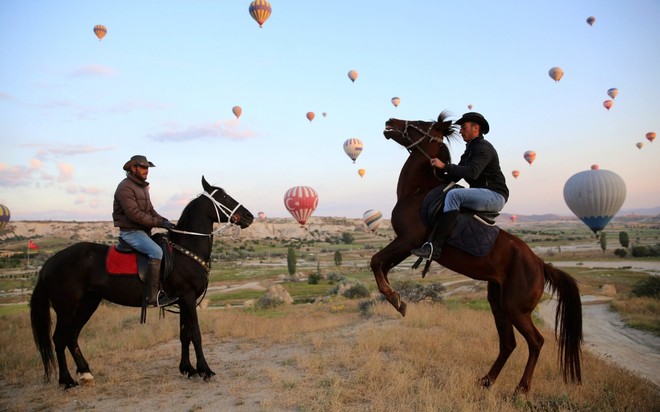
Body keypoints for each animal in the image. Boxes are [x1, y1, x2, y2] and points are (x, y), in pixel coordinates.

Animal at [30, 175, 253, 388]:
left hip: (87, 304)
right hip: (66, 309)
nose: (249, 216)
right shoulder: (188, 298)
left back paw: (85, 373)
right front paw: (205, 370)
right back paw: (66, 380)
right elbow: (195, 334)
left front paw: (188, 369)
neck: (185, 250)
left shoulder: (181, 301)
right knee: (59, 339)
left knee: (72, 336)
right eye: (222, 196)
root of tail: (48, 263)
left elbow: (184, 334)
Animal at [372, 112, 584, 392]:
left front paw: (396, 300)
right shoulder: (406, 244)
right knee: (508, 343)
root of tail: (540, 264)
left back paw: (521, 388)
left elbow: (375, 262)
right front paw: (397, 299)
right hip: (498, 303)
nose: (391, 121)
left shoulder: (408, 240)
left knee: (535, 342)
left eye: (420, 124)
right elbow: (382, 266)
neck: (418, 191)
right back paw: (487, 380)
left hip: (516, 309)